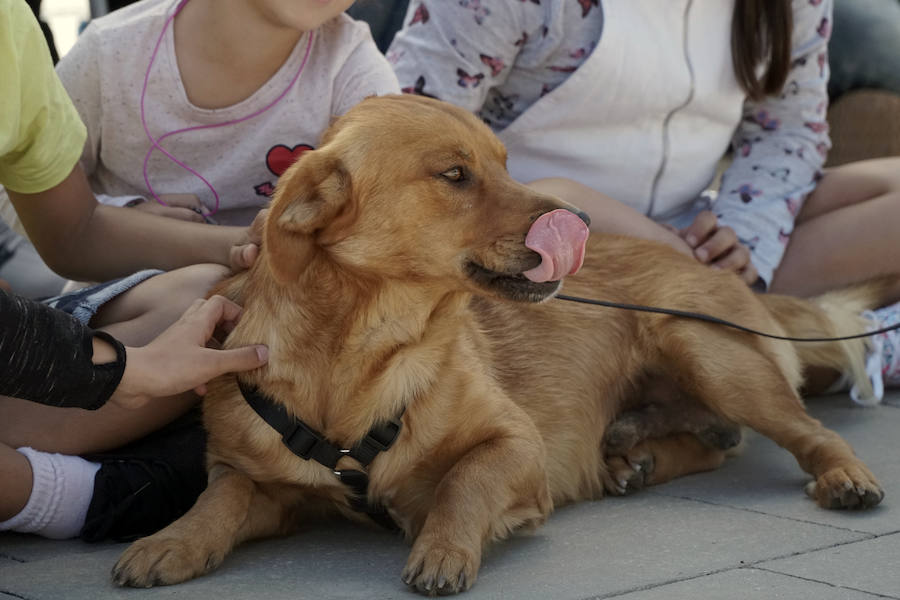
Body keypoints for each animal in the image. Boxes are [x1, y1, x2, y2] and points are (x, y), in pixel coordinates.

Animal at [112, 95, 884, 596]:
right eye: (455, 174)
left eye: (506, 163)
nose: (579, 220)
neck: (361, 355)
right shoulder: (264, 482)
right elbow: (222, 497)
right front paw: (171, 539)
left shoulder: (517, 444)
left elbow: (465, 479)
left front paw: (443, 546)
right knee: (714, 441)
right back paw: (633, 453)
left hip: (701, 345)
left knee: (804, 431)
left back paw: (843, 476)